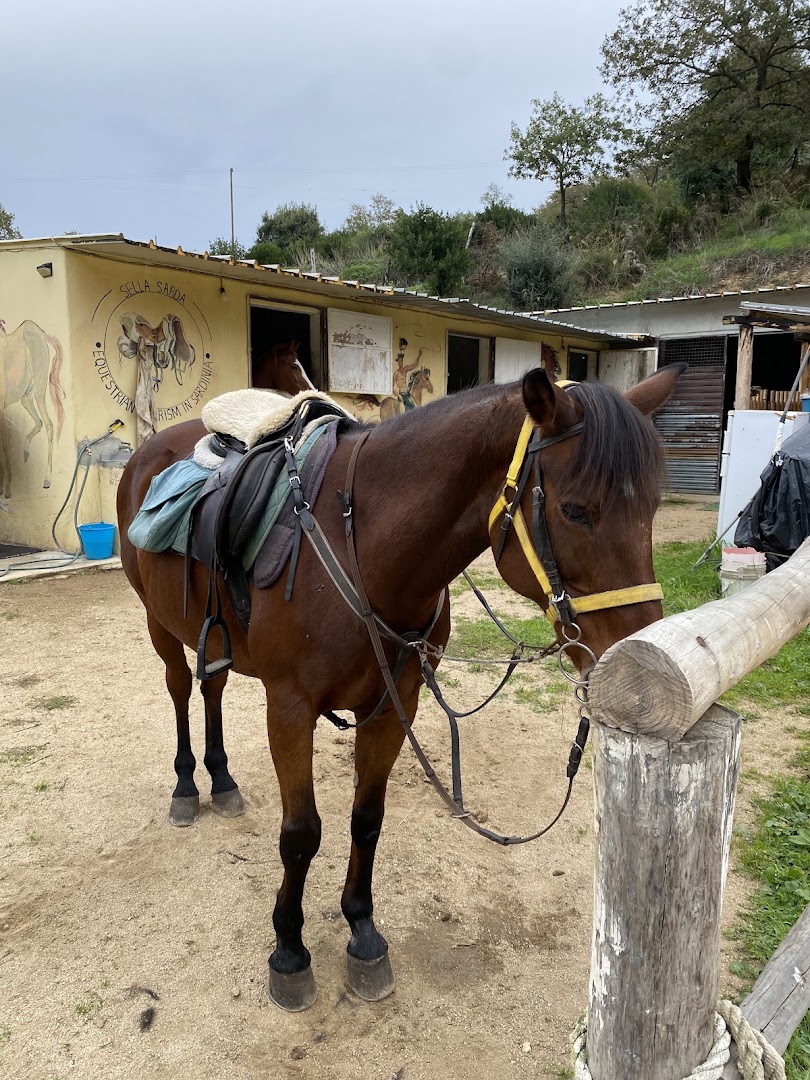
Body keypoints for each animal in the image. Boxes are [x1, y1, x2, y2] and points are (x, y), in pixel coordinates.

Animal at [0, 319, 65, 498]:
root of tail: (42, 334)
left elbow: (4, 443)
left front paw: (7, 488)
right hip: (26, 397)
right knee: (39, 423)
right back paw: (26, 452)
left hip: (39, 390)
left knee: (49, 424)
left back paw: (47, 479)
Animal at [116, 364, 682, 1011]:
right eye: (576, 510)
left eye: (652, 509)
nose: (642, 661)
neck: (361, 543)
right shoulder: (290, 708)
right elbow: (301, 834)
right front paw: (289, 950)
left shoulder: (392, 705)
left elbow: (367, 819)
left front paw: (362, 933)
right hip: (160, 625)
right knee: (181, 691)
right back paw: (188, 785)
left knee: (210, 691)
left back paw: (223, 778)